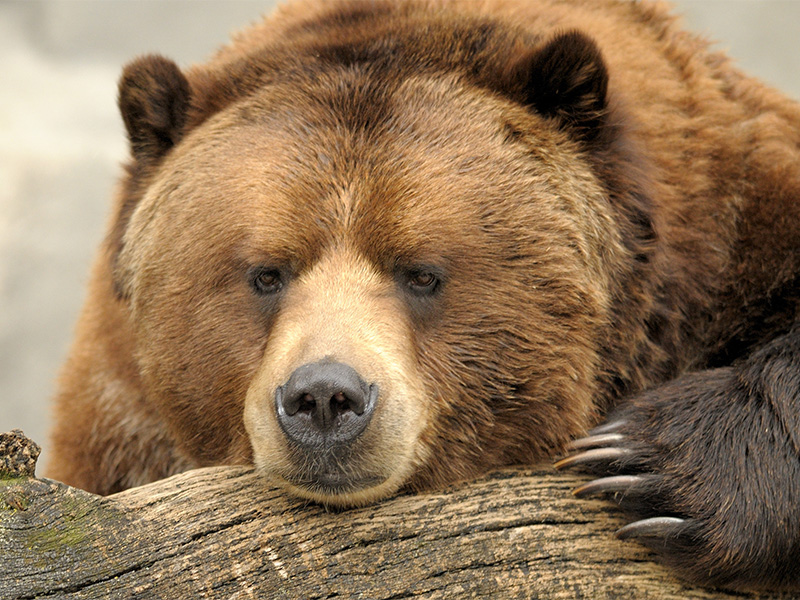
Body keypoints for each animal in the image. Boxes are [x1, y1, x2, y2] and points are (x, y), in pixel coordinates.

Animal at [47, 0, 800, 591]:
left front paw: (649, 469)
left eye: (420, 272)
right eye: (266, 273)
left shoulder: (729, 224)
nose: (325, 398)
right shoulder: (117, 423)